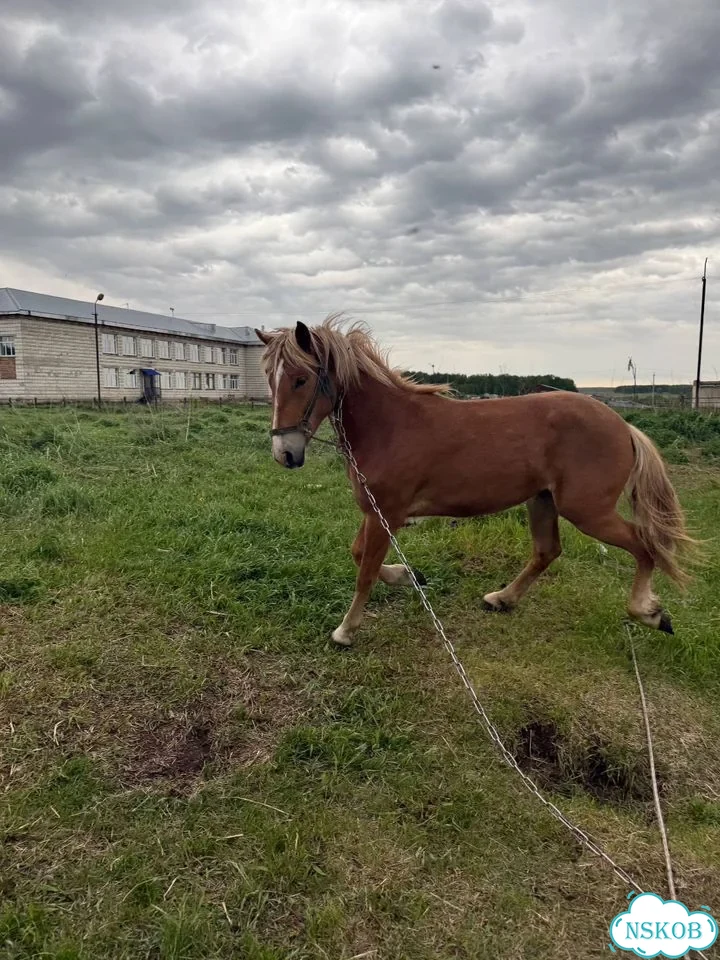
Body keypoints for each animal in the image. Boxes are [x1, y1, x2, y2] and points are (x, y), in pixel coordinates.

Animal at [255, 317, 694, 647]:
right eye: (269, 379)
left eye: (300, 379)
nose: (285, 454)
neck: (389, 427)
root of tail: (624, 426)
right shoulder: (376, 513)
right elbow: (359, 553)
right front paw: (409, 576)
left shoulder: (386, 515)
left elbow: (365, 569)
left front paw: (345, 631)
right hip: (542, 500)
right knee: (547, 551)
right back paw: (502, 598)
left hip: (587, 510)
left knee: (644, 545)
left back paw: (649, 613)